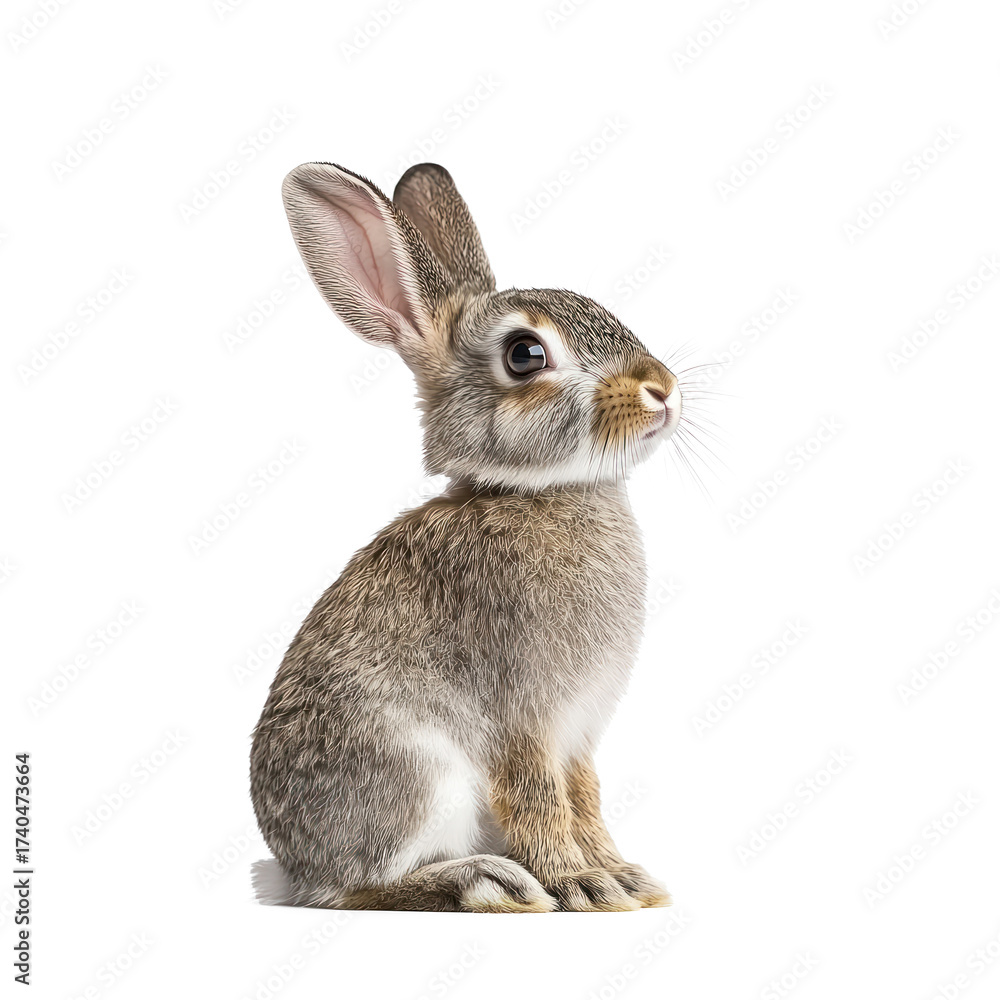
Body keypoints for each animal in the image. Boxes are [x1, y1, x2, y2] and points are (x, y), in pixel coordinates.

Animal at [250, 160, 682, 912]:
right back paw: (484, 880)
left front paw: (622, 878)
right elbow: (538, 799)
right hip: (418, 776)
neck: (538, 491)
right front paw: (580, 884)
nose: (662, 388)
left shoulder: (577, 734)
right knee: (359, 891)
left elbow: (584, 798)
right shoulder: (523, 713)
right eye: (525, 353)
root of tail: (296, 867)